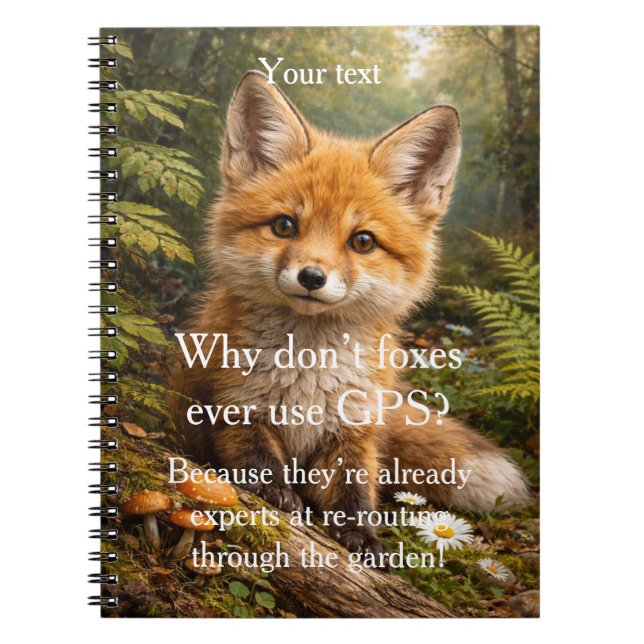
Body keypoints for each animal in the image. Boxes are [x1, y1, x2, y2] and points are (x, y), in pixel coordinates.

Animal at [172, 71, 529, 556]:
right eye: (284, 225)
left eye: (362, 241)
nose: (311, 277)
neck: (307, 370)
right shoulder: (234, 408)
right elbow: (258, 465)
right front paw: (278, 495)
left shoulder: (352, 431)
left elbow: (354, 493)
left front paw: (363, 537)